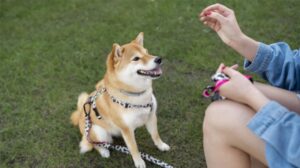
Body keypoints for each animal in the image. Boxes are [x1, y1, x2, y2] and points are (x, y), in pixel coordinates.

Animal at [69, 32, 169, 167]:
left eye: (147, 52)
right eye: (136, 58)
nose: (159, 59)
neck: (137, 95)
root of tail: (80, 114)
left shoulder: (151, 116)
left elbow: (155, 135)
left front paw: (161, 146)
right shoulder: (126, 129)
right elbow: (134, 148)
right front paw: (139, 162)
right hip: (98, 131)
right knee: (94, 144)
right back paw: (104, 151)